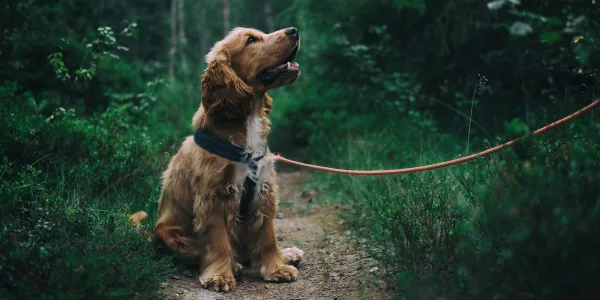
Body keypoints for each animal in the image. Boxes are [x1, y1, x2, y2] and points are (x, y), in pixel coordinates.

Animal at [132, 27, 308, 292]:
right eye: (251, 40)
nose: (294, 30)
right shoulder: (213, 196)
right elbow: (218, 241)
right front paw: (219, 276)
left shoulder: (264, 191)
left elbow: (267, 236)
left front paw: (277, 268)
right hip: (167, 232)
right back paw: (234, 264)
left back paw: (287, 254)